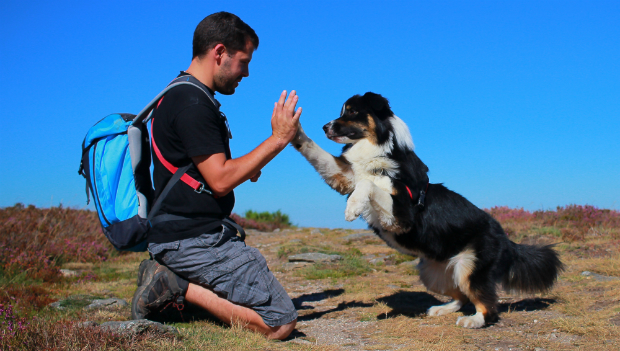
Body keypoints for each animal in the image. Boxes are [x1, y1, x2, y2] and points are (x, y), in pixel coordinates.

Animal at [290, 92, 560, 328]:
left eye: (353, 111)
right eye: (342, 111)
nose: (325, 127)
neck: (380, 149)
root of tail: (506, 239)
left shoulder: (402, 215)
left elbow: (369, 185)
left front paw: (353, 207)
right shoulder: (345, 177)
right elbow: (316, 151)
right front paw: (293, 128)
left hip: (469, 269)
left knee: (488, 305)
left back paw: (474, 321)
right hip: (433, 272)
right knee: (462, 297)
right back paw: (442, 309)